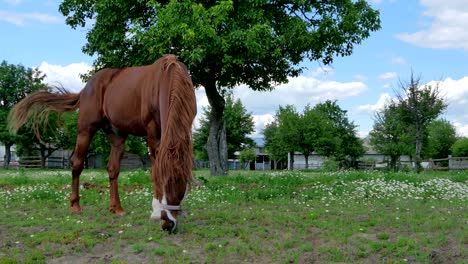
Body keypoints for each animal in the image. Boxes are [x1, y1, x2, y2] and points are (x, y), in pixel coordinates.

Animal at [9, 53, 196, 231]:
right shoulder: (152, 132)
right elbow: (155, 170)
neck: (167, 77)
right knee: (77, 163)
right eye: (167, 183)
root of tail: (86, 88)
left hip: (117, 136)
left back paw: (116, 208)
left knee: (113, 169)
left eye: (181, 184)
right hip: (86, 130)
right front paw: (156, 210)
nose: (168, 224)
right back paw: (75, 206)